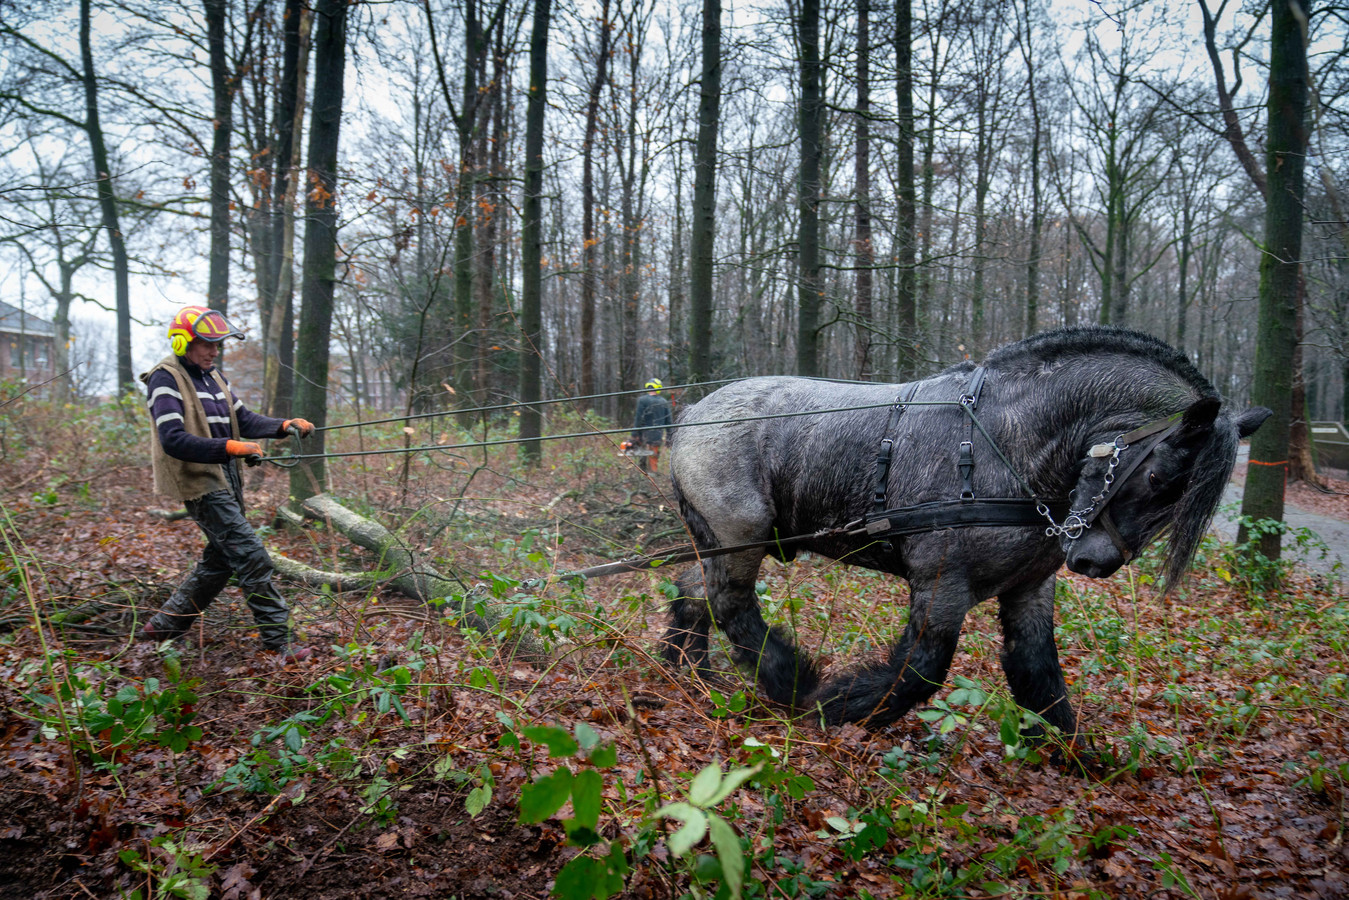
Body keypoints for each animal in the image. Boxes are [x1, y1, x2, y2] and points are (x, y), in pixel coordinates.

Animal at [669, 327, 1268, 734]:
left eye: (1177, 502)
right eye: (1158, 476)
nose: (1095, 561)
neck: (1007, 442)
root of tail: (691, 414)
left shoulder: (1030, 587)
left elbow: (1037, 670)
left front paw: (1078, 755)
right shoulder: (941, 581)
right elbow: (921, 670)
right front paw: (836, 706)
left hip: (714, 540)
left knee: (693, 593)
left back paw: (687, 670)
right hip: (739, 534)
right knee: (730, 604)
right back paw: (789, 680)